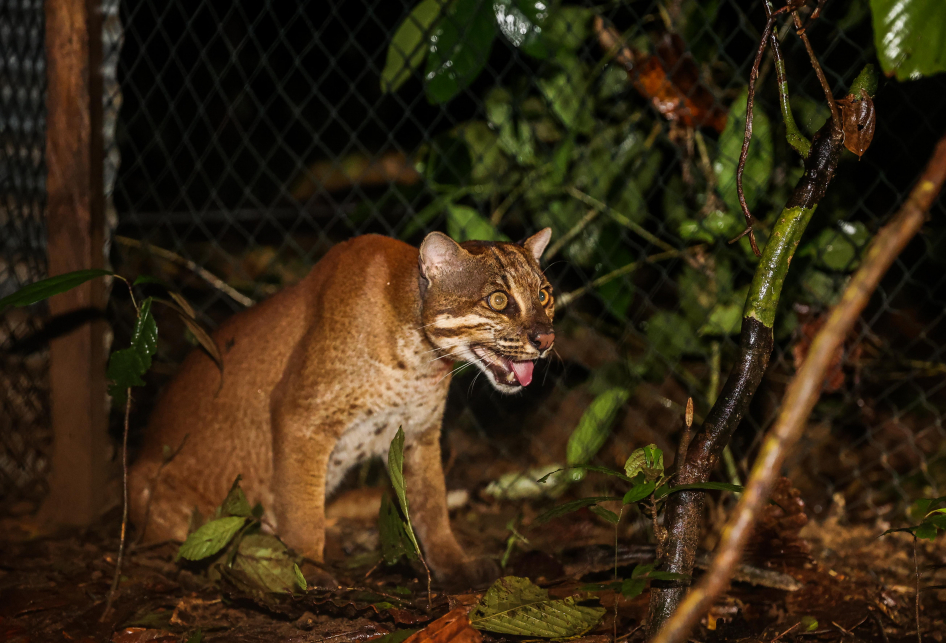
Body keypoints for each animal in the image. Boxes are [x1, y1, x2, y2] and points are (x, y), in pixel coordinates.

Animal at [126, 230, 552, 588]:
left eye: (544, 295)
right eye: (498, 300)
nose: (546, 337)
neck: (420, 356)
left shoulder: (419, 433)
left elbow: (431, 506)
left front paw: (455, 564)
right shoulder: (300, 417)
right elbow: (302, 510)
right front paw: (307, 571)